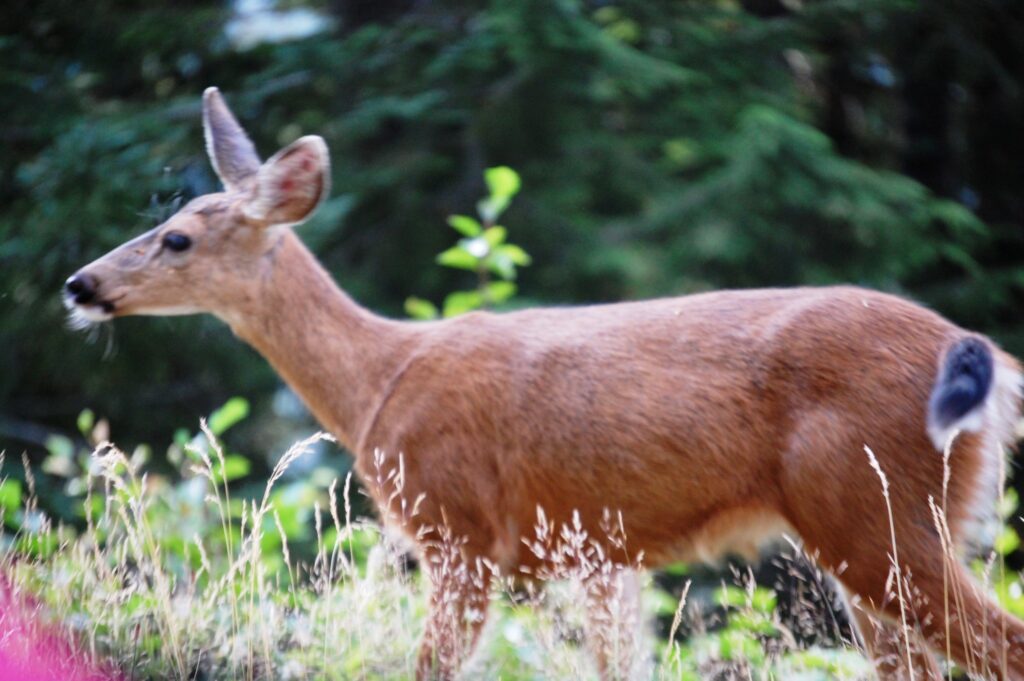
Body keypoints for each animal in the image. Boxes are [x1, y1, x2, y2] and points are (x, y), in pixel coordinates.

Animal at [66, 87, 1024, 675]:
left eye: (179, 237)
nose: (80, 283)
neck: (379, 381)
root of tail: (986, 355)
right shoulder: (601, 552)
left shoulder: (455, 529)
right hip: (881, 530)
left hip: (875, 511)